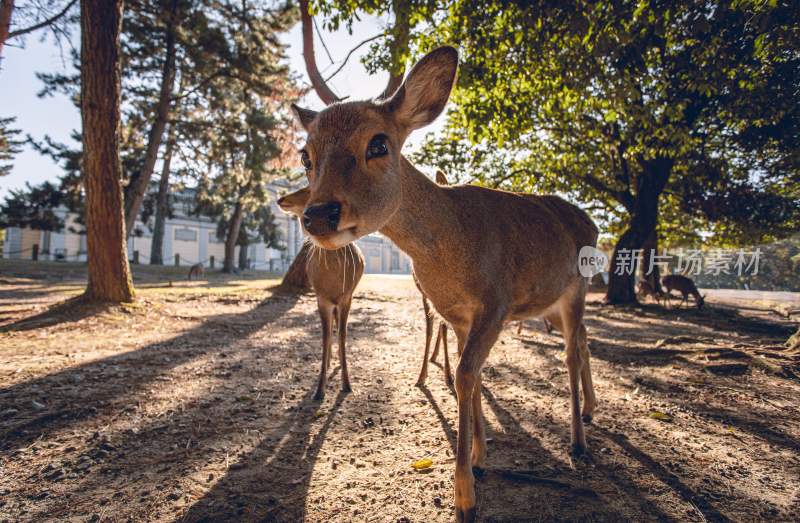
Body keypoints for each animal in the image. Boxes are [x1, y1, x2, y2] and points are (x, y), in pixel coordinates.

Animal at [276, 186, 362, 400]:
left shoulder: (346, 297)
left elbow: (343, 334)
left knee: (337, 328)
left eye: (309, 188)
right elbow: (324, 337)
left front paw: (347, 384)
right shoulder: (321, 298)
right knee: (330, 330)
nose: (281, 198)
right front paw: (319, 390)